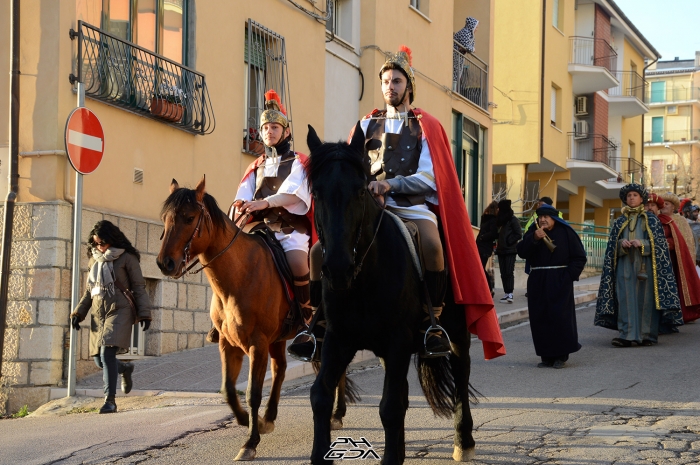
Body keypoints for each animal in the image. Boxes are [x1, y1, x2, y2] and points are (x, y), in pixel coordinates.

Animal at [159, 177, 356, 460]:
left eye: (189, 218)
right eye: (165, 218)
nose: (165, 263)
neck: (239, 275)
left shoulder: (257, 344)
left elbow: (252, 393)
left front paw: (250, 442)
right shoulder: (229, 344)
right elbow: (228, 390)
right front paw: (250, 422)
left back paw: (336, 414)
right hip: (279, 339)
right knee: (281, 369)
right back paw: (272, 417)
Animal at [306, 124, 476, 464]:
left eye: (360, 191)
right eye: (316, 193)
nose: (338, 268)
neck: (363, 279)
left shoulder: (397, 341)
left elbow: (390, 407)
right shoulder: (339, 338)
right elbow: (321, 395)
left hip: (457, 331)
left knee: (461, 374)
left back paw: (463, 441)